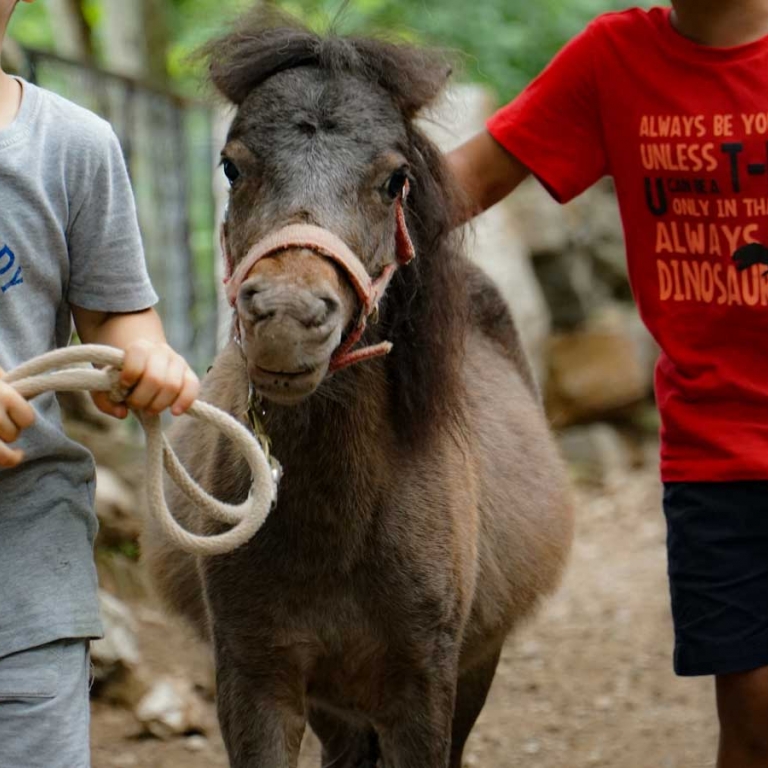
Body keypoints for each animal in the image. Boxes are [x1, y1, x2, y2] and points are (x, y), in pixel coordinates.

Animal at [142, 10, 573, 767]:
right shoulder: (257, 677)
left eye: (395, 180)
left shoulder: (425, 685)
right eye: (232, 165)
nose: (287, 316)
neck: (337, 531)